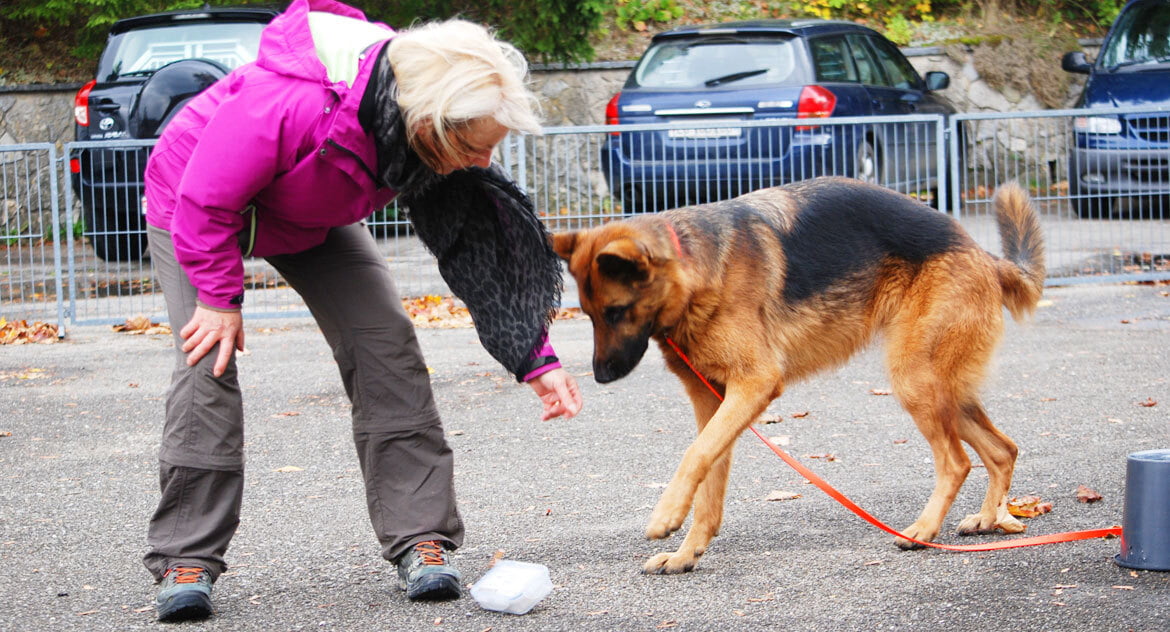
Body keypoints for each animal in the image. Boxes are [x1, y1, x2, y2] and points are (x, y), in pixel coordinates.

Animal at [552, 176, 1048, 573]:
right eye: (590, 315)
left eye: (616, 312)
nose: (599, 377)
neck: (694, 269)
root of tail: (984, 255)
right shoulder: (714, 403)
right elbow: (709, 476)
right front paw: (686, 553)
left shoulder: (753, 386)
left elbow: (695, 455)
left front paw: (665, 516)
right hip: (943, 391)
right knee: (1002, 449)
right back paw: (990, 519)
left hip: (915, 382)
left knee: (958, 461)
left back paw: (923, 531)